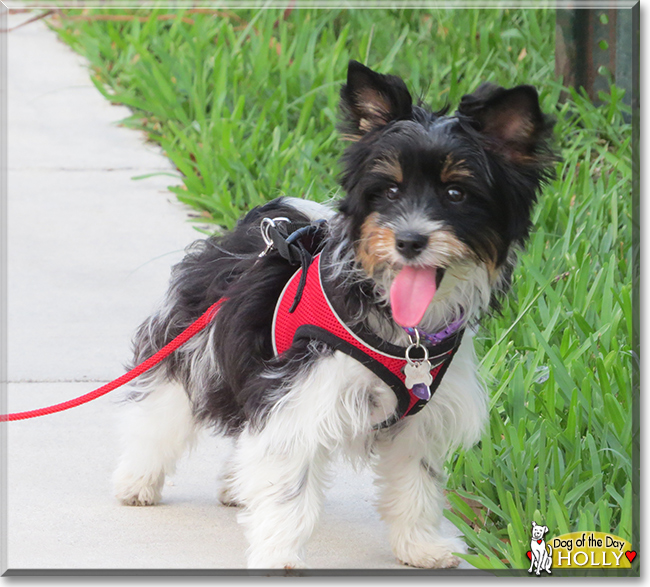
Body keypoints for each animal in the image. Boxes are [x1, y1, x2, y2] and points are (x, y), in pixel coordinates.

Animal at [112, 60, 552, 568]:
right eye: (390, 190)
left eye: (457, 193)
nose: (409, 240)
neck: (403, 331)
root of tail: (271, 224)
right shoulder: (302, 397)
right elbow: (288, 487)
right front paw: (280, 558)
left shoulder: (422, 418)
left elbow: (416, 484)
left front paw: (420, 545)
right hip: (193, 341)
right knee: (163, 408)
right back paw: (138, 480)